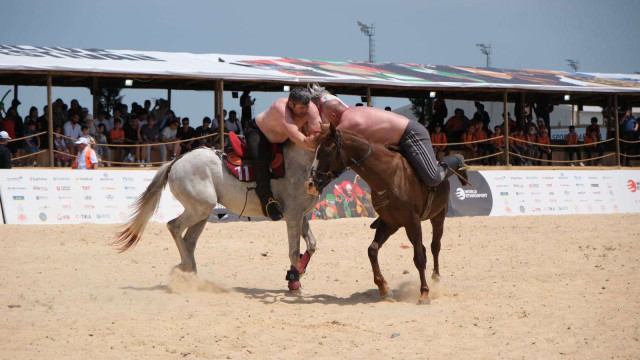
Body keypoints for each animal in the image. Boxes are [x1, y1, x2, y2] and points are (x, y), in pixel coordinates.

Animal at [115, 144, 320, 292]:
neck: (297, 162)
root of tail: (176, 162)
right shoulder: (293, 215)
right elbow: (294, 250)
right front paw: (295, 285)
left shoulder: (301, 215)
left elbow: (311, 244)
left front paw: (298, 277)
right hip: (201, 208)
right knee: (174, 227)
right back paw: (186, 268)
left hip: (202, 211)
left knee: (188, 241)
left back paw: (193, 279)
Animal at [306, 125, 450, 306]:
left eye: (326, 151)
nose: (310, 184)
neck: (389, 176)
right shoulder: (390, 223)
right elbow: (372, 250)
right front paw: (384, 289)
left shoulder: (412, 221)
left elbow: (418, 258)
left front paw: (424, 293)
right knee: (423, 247)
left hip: (438, 216)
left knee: (434, 246)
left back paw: (436, 278)